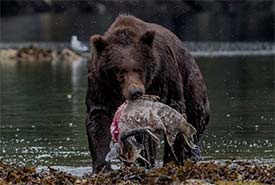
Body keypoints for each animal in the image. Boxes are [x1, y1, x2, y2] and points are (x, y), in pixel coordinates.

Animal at [85, 15, 210, 173]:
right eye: (119, 71)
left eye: (139, 68)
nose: (136, 92)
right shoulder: (100, 85)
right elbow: (98, 119)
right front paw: (102, 167)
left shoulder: (163, 75)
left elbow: (175, 107)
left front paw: (172, 160)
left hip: (191, 79)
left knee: (197, 114)